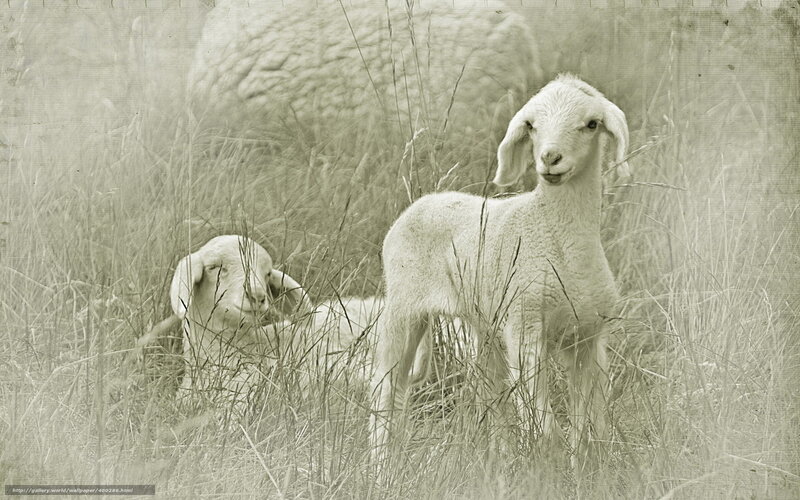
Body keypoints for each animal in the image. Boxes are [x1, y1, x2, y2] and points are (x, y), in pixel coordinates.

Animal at [370, 75, 630, 466]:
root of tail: (423, 201)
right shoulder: (525, 328)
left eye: (591, 124)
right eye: (532, 125)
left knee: (488, 392)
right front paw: (547, 467)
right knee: (388, 387)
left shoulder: (589, 336)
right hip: (403, 308)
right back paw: (381, 464)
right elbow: (545, 426)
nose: (549, 158)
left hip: (485, 325)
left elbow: (590, 425)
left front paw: (587, 469)